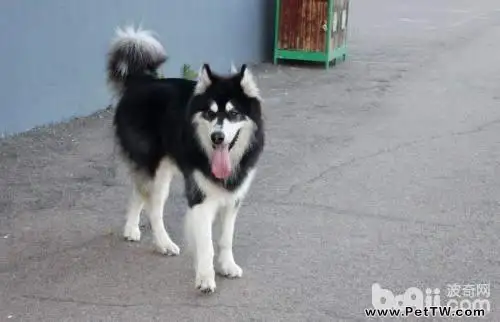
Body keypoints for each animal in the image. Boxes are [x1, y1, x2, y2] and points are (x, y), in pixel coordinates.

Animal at [106, 27, 266, 294]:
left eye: (234, 113)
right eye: (210, 113)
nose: (217, 137)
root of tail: (141, 82)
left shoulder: (233, 199)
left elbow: (225, 238)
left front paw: (227, 265)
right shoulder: (200, 199)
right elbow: (207, 244)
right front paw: (205, 278)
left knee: (139, 192)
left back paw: (131, 228)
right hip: (156, 172)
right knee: (153, 207)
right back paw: (163, 243)